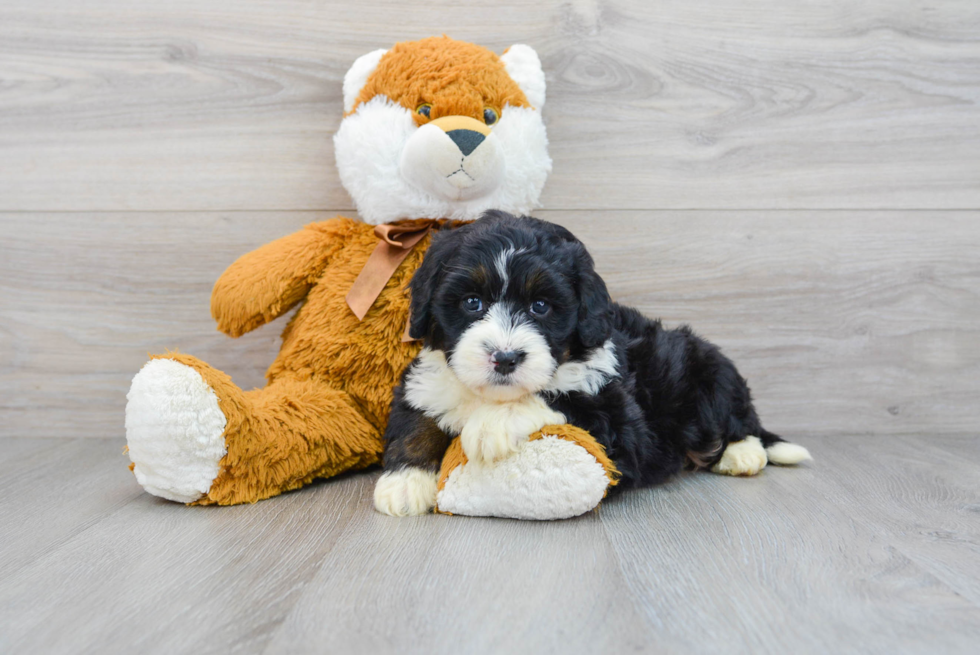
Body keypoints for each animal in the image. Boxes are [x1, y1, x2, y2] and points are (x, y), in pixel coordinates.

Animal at [372, 213, 808, 516]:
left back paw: (742, 453)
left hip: (708, 370)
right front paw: (405, 483)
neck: (490, 395)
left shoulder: (620, 420)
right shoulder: (428, 380)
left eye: (541, 306)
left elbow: (559, 398)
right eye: (472, 302)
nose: (506, 358)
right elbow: (417, 421)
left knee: (738, 416)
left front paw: (491, 426)